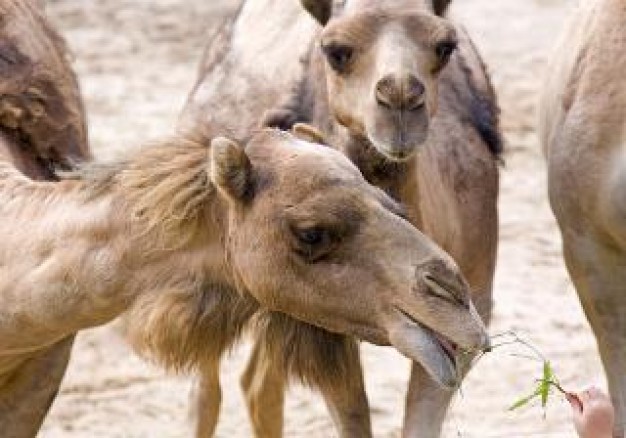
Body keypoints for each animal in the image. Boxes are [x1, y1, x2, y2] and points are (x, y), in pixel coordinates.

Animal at [179, 0, 498, 438]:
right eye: (335, 51)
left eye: (445, 46)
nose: (400, 96)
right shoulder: (325, 324)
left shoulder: (469, 310)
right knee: (207, 390)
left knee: (259, 384)